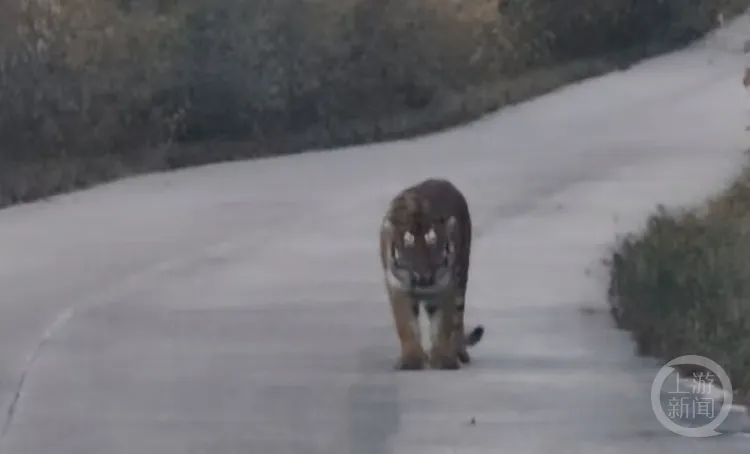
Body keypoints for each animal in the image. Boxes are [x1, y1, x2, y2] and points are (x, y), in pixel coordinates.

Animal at [378, 176, 484, 368]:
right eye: (409, 245)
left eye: (432, 243)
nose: (424, 277)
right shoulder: (398, 287)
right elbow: (406, 325)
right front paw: (411, 360)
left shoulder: (446, 286)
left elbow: (443, 325)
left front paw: (443, 359)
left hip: (461, 278)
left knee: (457, 319)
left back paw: (458, 353)